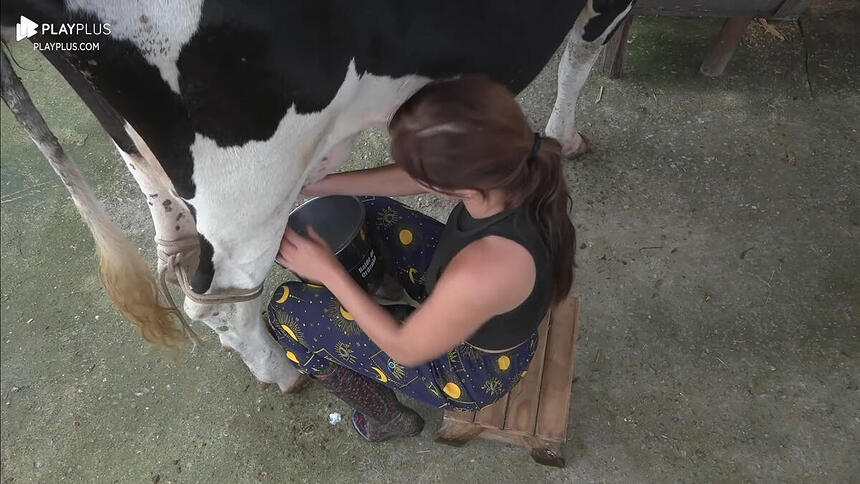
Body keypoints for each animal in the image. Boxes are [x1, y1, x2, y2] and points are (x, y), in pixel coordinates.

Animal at [0, 0, 632, 394]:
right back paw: (281, 373)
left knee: (176, 254)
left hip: (145, 159)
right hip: (249, 181)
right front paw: (563, 137)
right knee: (218, 299)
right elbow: (578, 58)